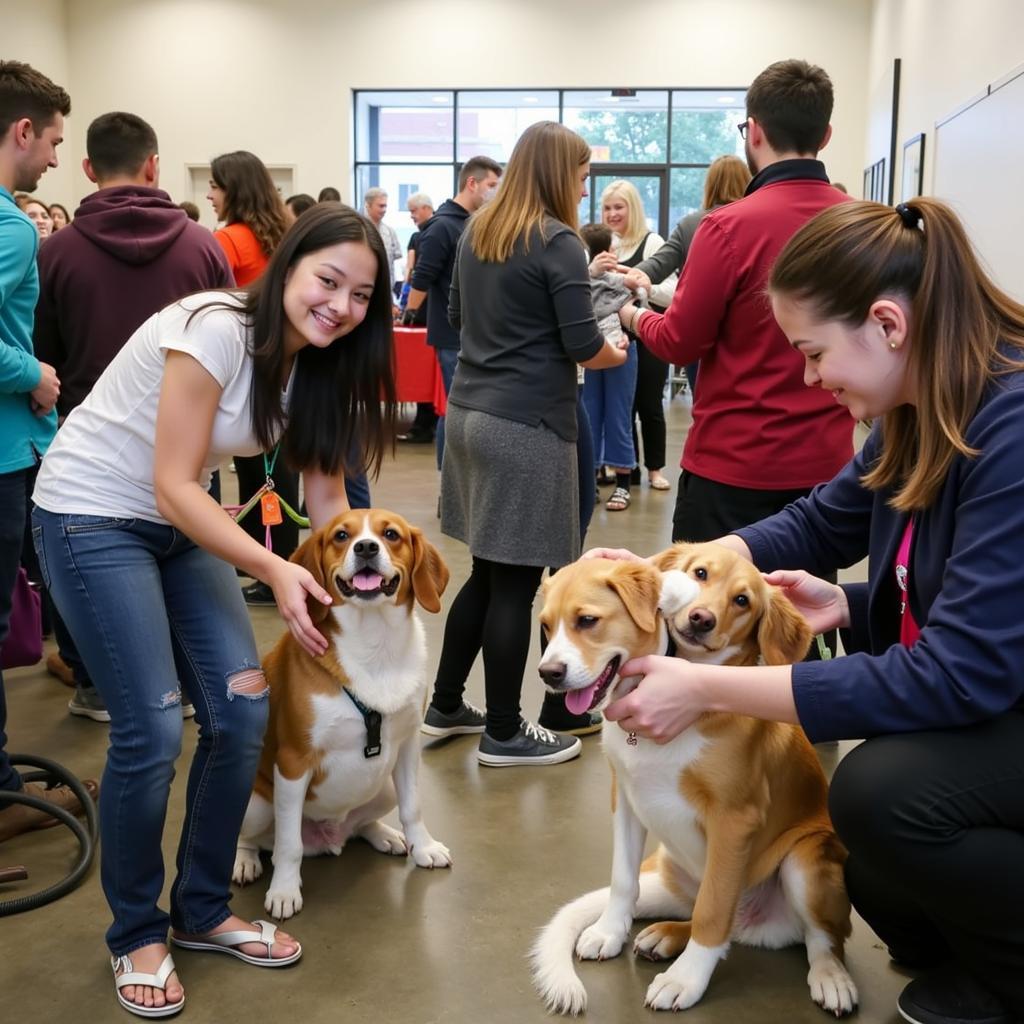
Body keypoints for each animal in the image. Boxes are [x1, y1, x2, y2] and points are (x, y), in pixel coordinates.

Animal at [235, 512, 456, 921]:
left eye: (391, 534)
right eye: (341, 536)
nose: (366, 547)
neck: (375, 643)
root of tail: (328, 837)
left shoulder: (407, 747)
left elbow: (414, 807)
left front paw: (423, 846)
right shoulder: (293, 762)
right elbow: (287, 844)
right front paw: (284, 890)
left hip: (384, 784)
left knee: (360, 824)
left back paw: (384, 834)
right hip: (254, 806)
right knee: (252, 838)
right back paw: (245, 861)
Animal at [532, 548, 860, 1011]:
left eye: (587, 621)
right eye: (545, 626)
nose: (549, 673)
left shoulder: (734, 820)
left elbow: (713, 908)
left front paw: (685, 979)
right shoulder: (626, 800)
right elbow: (622, 881)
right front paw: (609, 931)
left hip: (805, 861)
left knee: (820, 937)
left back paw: (831, 977)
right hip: (670, 873)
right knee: (716, 920)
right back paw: (665, 936)